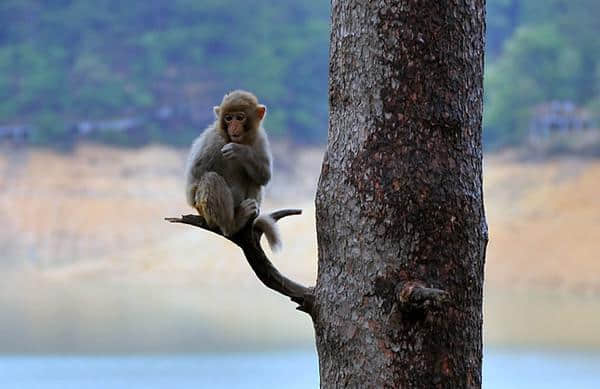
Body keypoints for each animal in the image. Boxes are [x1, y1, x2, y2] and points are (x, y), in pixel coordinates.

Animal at [184, 90, 282, 250]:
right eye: (229, 118)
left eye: (240, 118)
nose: (233, 127)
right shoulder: (214, 141)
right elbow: (193, 181)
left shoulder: (260, 137)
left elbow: (264, 176)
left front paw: (239, 151)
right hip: (206, 214)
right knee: (210, 178)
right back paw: (233, 224)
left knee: (255, 179)